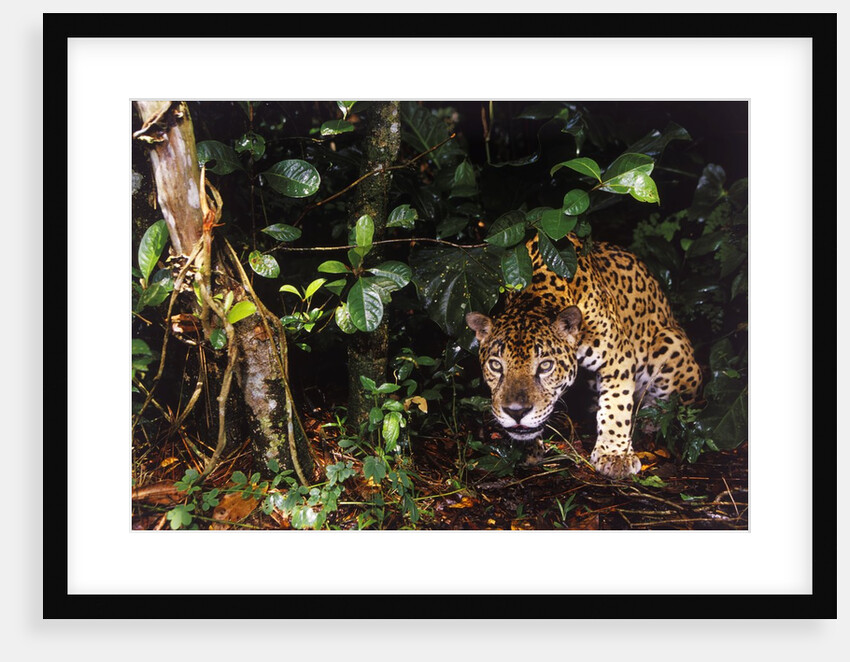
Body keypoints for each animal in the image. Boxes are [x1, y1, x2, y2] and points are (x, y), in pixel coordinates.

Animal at [466, 233, 701, 479]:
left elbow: (616, 404)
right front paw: (525, 448)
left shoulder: (618, 356)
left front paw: (615, 455)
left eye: (545, 366)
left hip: (671, 346)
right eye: (495, 366)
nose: (516, 412)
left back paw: (649, 419)